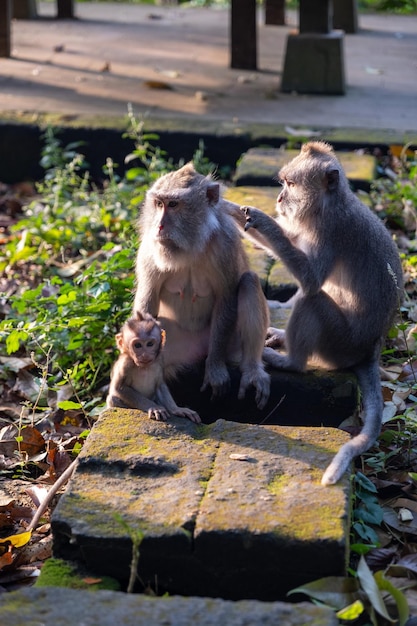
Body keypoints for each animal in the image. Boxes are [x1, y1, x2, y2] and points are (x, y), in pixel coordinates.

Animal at [132, 158, 270, 408]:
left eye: (173, 204)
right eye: (158, 204)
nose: (159, 226)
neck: (189, 247)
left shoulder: (225, 245)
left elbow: (227, 296)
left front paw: (215, 369)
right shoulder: (149, 249)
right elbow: (146, 301)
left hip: (232, 344)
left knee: (248, 282)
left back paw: (252, 370)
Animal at [232, 143, 402, 488]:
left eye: (290, 184)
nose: (279, 199)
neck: (327, 206)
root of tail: (370, 350)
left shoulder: (330, 231)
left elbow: (310, 280)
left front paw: (262, 219)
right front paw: (229, 210)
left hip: (339, 344)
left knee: (313, 300)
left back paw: (290, 362)